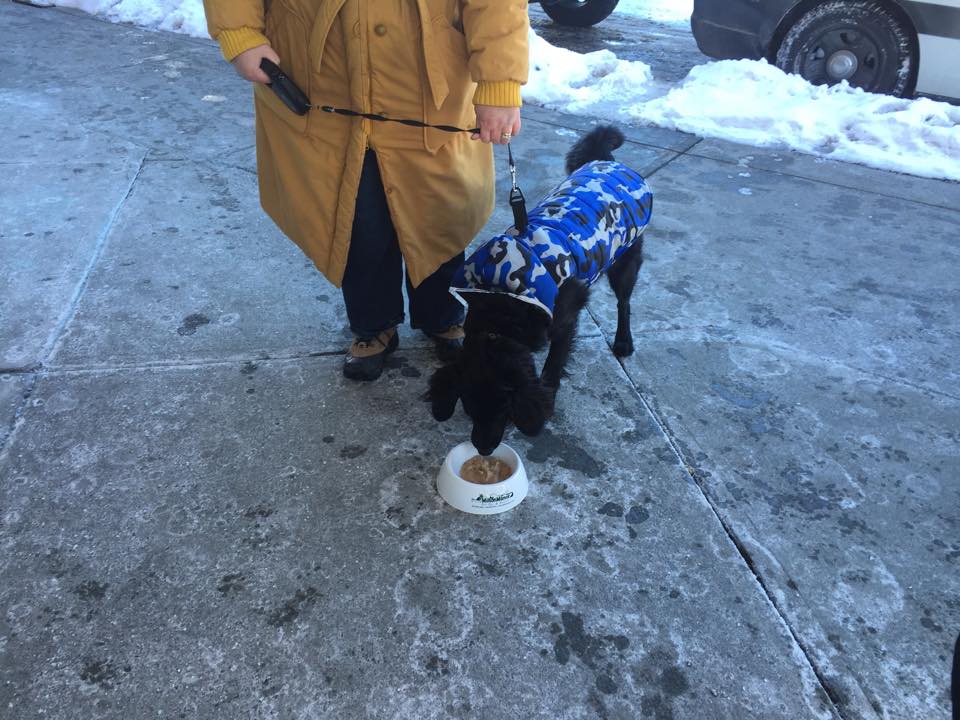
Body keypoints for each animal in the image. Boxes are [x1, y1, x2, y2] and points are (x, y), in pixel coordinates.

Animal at [428, 125, 653, 454]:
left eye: (504, 409)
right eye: (468, 407)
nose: (483, 449)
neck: (501, 307)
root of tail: (605, 161)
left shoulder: (563, 320)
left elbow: (553, 365)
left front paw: (547, 401)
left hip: (625, 259)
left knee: (624, 301)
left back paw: (623, 340)